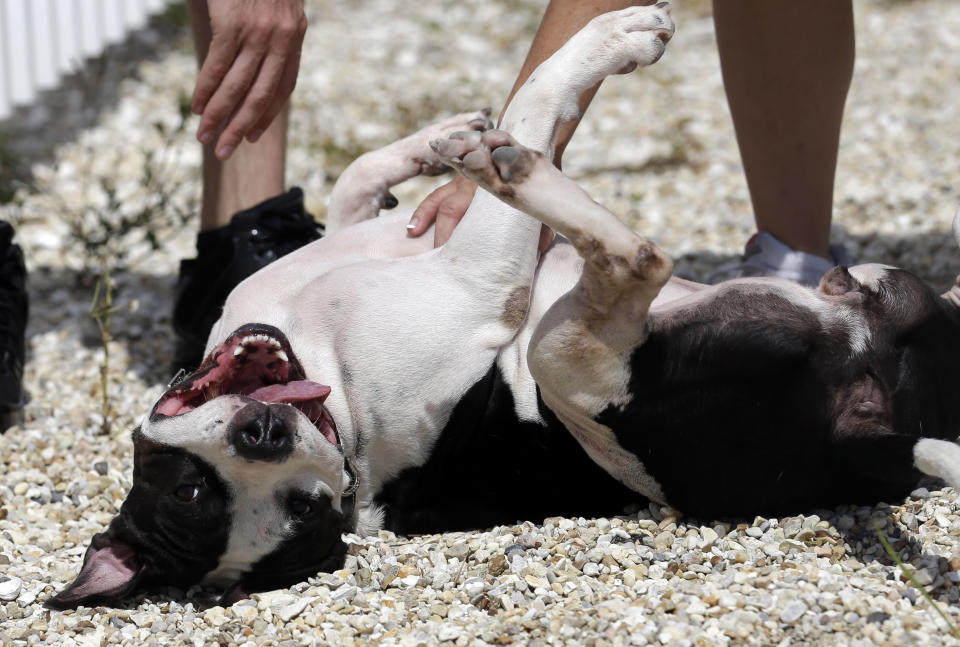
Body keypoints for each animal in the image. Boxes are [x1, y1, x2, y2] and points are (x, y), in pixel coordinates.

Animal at [48, 5, 960, 612]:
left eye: (183, 489)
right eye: (207, 494)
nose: (264, 431)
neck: (329, 384)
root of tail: (875, 432)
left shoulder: (369, 241)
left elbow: (355, 185)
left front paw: (429, 143)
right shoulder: (482, 271)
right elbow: (536, 104)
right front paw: (601, 49)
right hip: (577, 366)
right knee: (633, 260)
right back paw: (519, 161)